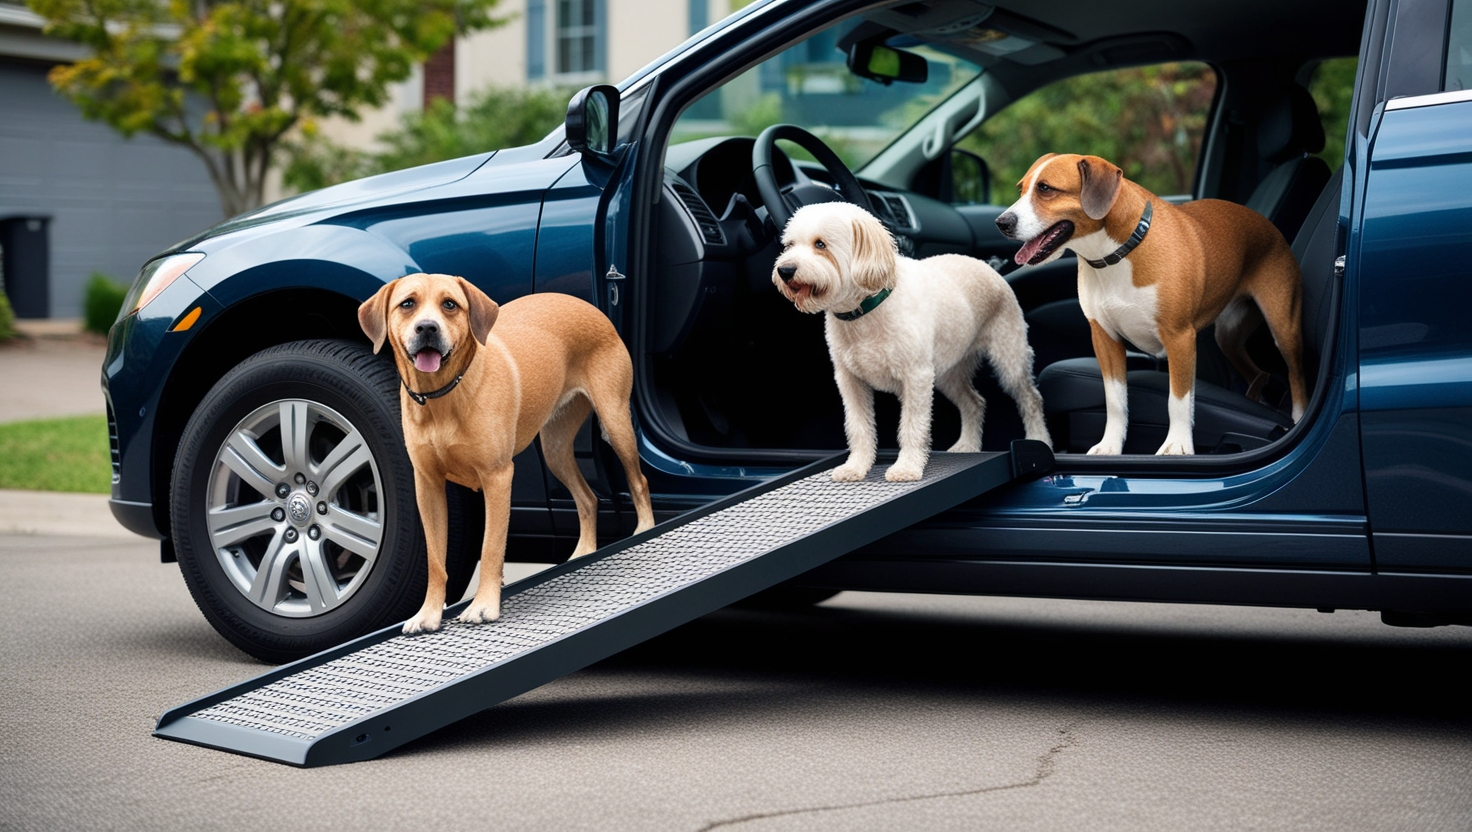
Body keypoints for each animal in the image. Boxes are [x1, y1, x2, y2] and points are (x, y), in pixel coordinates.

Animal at [353, 275, 653, 633]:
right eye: (407, 303)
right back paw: (584, 552)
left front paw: (484, 605)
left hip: (615, 419)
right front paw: (428, 614)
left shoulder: (497, 478)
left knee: (639, 482)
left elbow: (492, 547)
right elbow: (436, 560)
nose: (427, 328)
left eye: (449, 304)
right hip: (554, 449)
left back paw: (645, 531)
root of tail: (587, 306)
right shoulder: (428, 485)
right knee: (588, 498)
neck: (443, 396)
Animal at [771, 201, 1048, 483]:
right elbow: (859, 427)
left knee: (1031, 400)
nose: (785, 270)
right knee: (974, 402)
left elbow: (912, 426)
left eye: (820, 244)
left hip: (1009, 359)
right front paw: (855, 467)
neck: (866, 311)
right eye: (789, 245)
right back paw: (967, 445)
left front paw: (906, 468)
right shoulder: (850, 380)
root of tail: (987, 266)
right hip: (948, 373)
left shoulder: (916, 377)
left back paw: (1040, 440)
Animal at [995, 156, 1307, 453]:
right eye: (1022, 189)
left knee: (1296, 374)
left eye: (1045, 189)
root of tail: (1266, 223)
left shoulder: (1179, 337)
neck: (1116, 254)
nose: (1002, 223)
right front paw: (1111, 445)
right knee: (1258, 373)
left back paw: (1297, 417)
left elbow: (1177, 400)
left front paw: (1178, 445)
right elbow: (1115, 400)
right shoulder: (1104, 338)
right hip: (1227, 336)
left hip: (1284, 328)